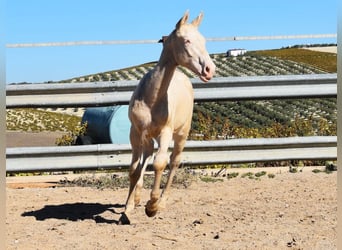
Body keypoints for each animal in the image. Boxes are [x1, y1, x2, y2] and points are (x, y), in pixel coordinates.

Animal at [120, 10, 215, 225]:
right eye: (187, 40)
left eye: (204, 40)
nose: (209, 69)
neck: (151, 99)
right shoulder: (135, 132)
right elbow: (133, 169)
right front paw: (127, 208)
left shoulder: (165, 131)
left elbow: (160, 163)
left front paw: (152, 206)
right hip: (147, 136)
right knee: (146, 156)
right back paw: (137, 197)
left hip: (181, 134)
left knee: (173, 161)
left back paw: (162, 201)